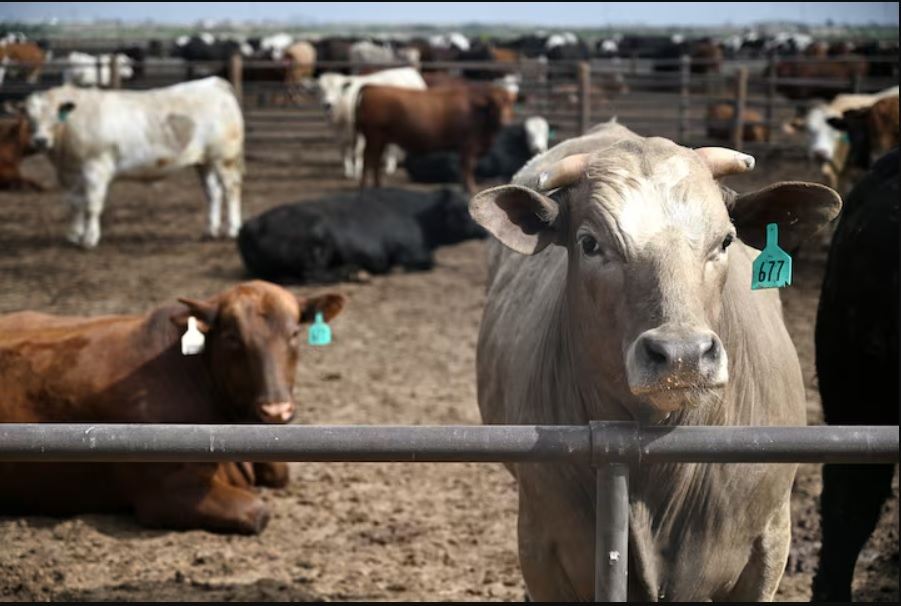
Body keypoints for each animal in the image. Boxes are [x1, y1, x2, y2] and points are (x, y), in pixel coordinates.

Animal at [19, 76, 244, 248]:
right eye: (29, 117)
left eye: (55, 115)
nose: (40, 140)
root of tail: (214, 83)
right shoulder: (68, 173)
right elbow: (74, 204)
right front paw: (74, 236)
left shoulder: (96, 168)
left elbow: (92, 205)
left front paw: (89, 239)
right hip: (204, 161)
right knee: (213, 193)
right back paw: (210, 230)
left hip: (225, 158)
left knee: (231, 189)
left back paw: (233, 229)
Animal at [237, 187, 486, 284]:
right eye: (463, 210)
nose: (485, 231)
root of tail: (249, 224)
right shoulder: (409, 251)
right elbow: (426, 261)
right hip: (317, 242)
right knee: (313, 275)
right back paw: (355, 273)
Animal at [356, 83, 516, 192]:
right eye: (494, 105)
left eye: (510, 104)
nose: (505, 122)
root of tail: (372, 87)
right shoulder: (468, 145)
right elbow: (468, 167)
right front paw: (470, 188)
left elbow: (464, 167)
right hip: (373, 136)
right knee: (368, 159)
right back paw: (364, 187)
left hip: (380, 139)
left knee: (375, 161)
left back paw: (377, 186)